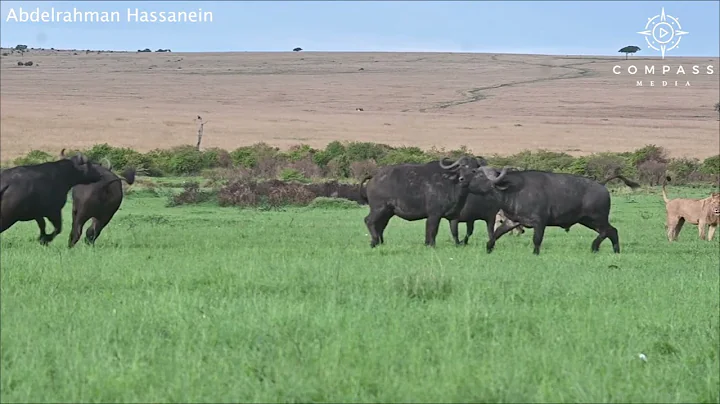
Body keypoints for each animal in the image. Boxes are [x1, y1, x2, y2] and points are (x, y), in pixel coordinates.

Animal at [466, 166, 640, 255]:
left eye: (480, 176)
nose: (463, 180)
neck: (512, 190)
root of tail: (601, 184)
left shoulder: (539, 222)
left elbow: (537, 240)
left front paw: (535, 254)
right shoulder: (512, 221)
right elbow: (495, 234)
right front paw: (488, 248)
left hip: (597, 218)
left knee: (608, 231)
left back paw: (594, 247)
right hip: (588, 220)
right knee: (612, 232)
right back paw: (614, 251)